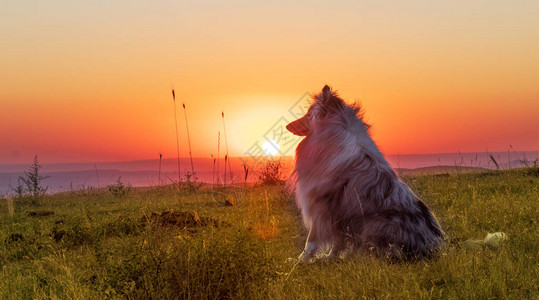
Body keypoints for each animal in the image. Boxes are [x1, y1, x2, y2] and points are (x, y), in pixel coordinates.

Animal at [286, 85, 442, 262]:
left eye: (308, 114)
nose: (287, 126)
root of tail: (432, 248)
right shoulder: (338, 216)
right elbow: (338, 241)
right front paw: (330, 257)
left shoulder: (321, 206)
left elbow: (311, 240)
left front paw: (301, 260)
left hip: (375, 224)